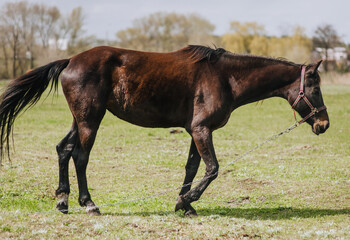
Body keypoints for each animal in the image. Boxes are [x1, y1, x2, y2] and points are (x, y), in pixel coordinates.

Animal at [0, 45, 330, 216]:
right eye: (314, 88)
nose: (324, 124)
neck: (224, 77)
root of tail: (71, 60)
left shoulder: (196, 131)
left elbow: (192, 167)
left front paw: (184, 204)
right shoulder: (201, 129)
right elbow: (212, 168)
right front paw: (187, 201)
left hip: (80, 120)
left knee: (63, 150)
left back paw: (63, 201)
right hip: (90, 121)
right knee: (80, 157)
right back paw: (88, 203)